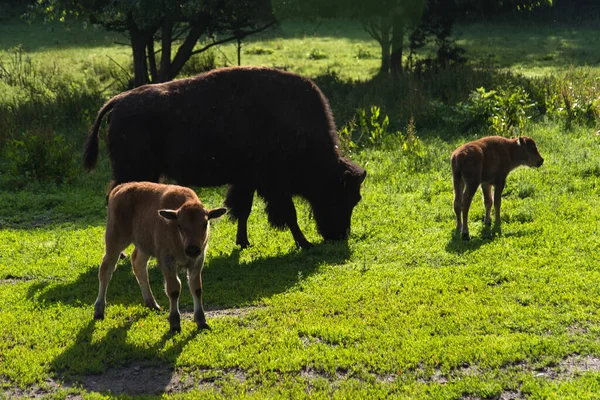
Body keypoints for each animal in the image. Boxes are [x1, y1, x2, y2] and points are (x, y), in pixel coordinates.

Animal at [84, 67, 366, 252]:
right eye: (341, 195)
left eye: (356, 199)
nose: (338, 236)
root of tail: (118, 100)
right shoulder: (273, 185)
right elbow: (289, 214)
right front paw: (305, 243)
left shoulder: (247, 181)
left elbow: (243, 210)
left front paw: (243, 242)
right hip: (133, 171)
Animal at [94, 181, 227, 332]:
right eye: (179, 225)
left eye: (205, 224)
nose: (192, 249)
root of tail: (119, 188)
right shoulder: (167, 261)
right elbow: (174, 289)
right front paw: (175, 323)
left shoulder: (197, 261)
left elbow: (196, 288)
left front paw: (202, 321)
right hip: (115, 240)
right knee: (106, 270)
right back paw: (99, 311)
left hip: (144, 246)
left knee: (138, 265)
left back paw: (152, 304)